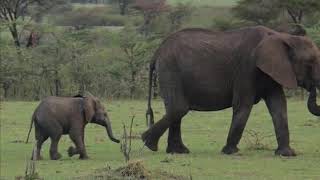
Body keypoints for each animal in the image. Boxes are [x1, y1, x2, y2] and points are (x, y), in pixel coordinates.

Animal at [142, 25, 320, 156]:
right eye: (310, 63)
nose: (312, 87)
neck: (282, 36)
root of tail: (156, 52)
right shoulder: (247, 67)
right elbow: (243, 105)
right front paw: (230, 152)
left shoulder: (273, 72)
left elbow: (279, 106)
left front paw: (287, 154)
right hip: (170, 68)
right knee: (179, 108)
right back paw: (149, 144)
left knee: (176, 110)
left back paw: (177, 152)